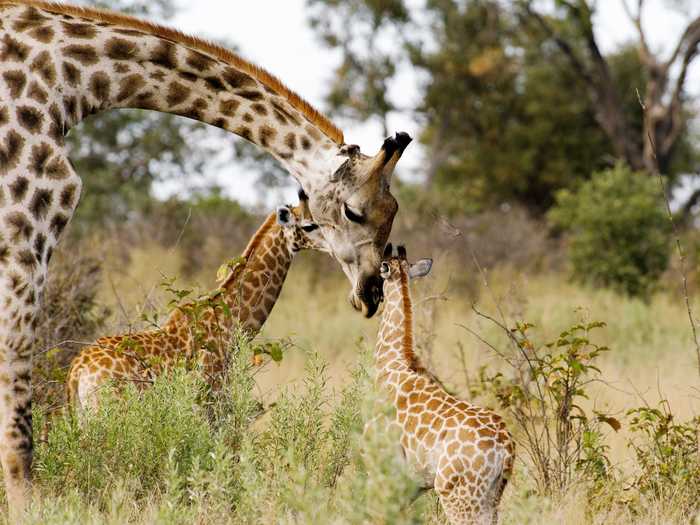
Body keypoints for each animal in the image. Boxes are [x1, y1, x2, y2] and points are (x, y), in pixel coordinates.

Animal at [378, 246, 516, 524]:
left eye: (380, 272)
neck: (392, 360)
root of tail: (505, 448)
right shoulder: (413, 484)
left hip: (458, 496)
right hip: (491, 497)